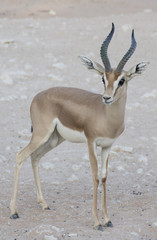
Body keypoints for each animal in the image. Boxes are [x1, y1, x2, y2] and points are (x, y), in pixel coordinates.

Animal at [10, 23, 148, 231]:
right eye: (103, 78)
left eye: (121, 80)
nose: (106, 97)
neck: (106, 116)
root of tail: (38, 96)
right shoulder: (91, 142)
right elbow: (95, 176)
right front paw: (97, 222)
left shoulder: (108, 145)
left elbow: (104, 177)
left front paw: (107, 219)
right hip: (41, 135)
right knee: (20, 155)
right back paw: (14, 212)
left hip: (54, 139)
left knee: (34, 157)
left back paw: (44, 204)